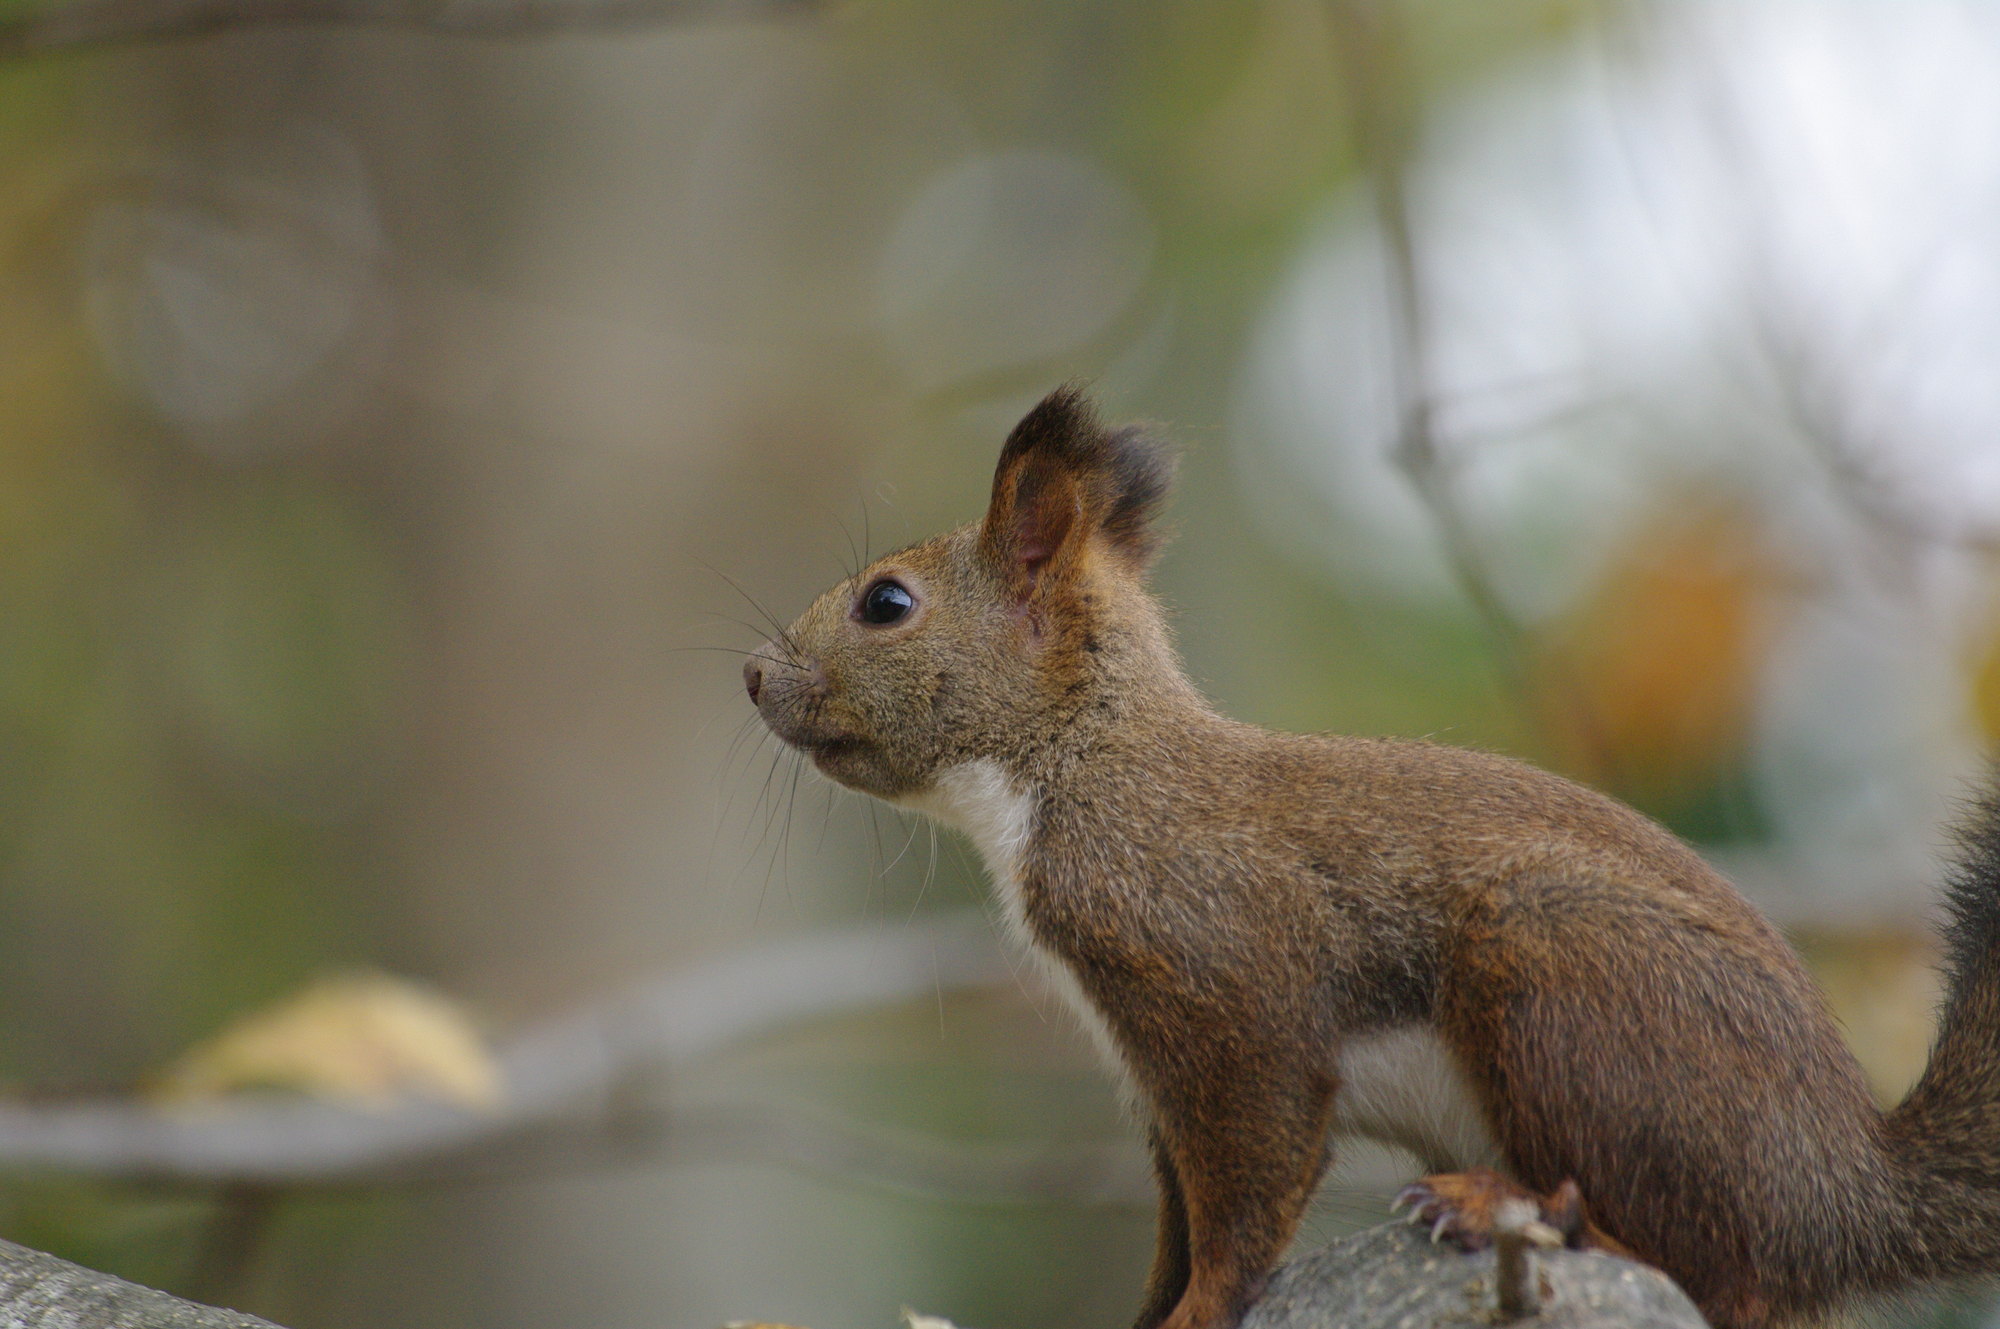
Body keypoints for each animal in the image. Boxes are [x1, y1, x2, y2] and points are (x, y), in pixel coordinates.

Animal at [744, 386, 2000, 1329]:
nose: (754, 677)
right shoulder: (1153, 1074)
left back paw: (1499, 1205)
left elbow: (1242, 1200)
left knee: (1709, 1264)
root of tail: (1848, 1194)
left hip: (1571, 982)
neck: (1083, 771)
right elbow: (1175, 1220)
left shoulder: (1230, 995)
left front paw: (1201, 1313)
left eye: (885, 603)